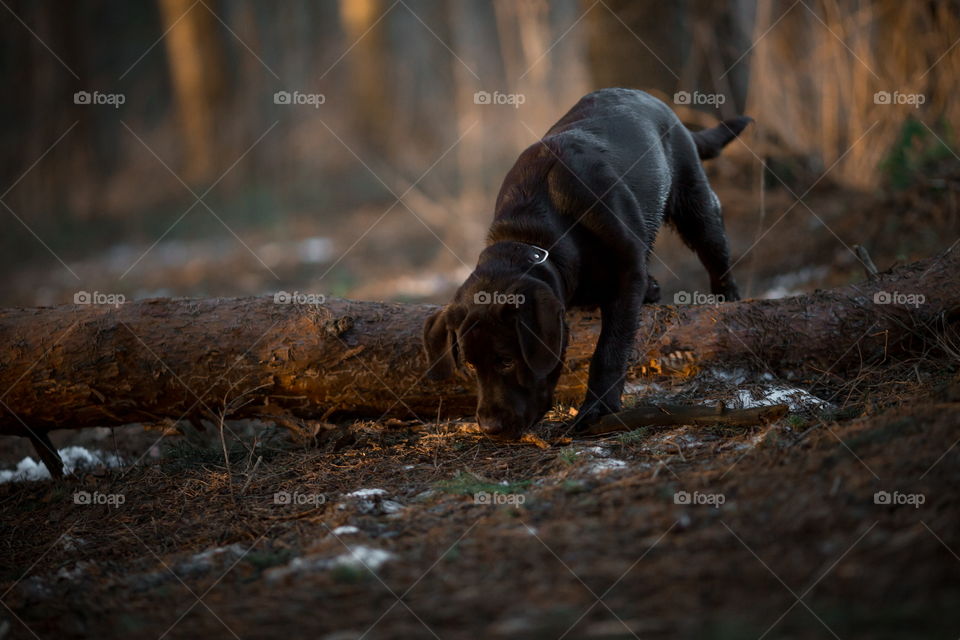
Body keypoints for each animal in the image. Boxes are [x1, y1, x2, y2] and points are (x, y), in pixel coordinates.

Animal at [422, 87, 752, 438]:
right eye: (470, 365)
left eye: (507, 360)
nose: (490, 428)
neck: (538, 236)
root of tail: (652, 99)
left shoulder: (626, 273)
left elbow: (610, 348)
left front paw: (597, 407)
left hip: (696, 206)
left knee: (717, 255)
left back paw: (727, 298)